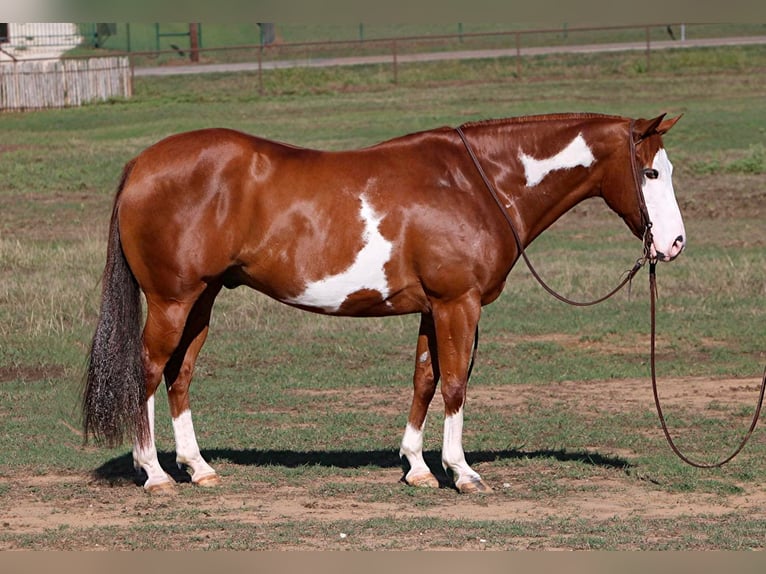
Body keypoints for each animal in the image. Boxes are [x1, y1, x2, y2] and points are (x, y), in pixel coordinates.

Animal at [82, 112, 684, 496]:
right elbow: (456, 383)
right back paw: (155, 474)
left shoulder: (432, 307)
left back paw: (198, 468)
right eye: (651, 171)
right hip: (172, 301)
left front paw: (417, 467)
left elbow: (424, 379)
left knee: (179, 374)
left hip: (201, 301)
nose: (674, 244)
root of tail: (142, 164)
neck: (476, 183)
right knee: (148, 371)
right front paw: (462, 472)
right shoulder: (458, 304)